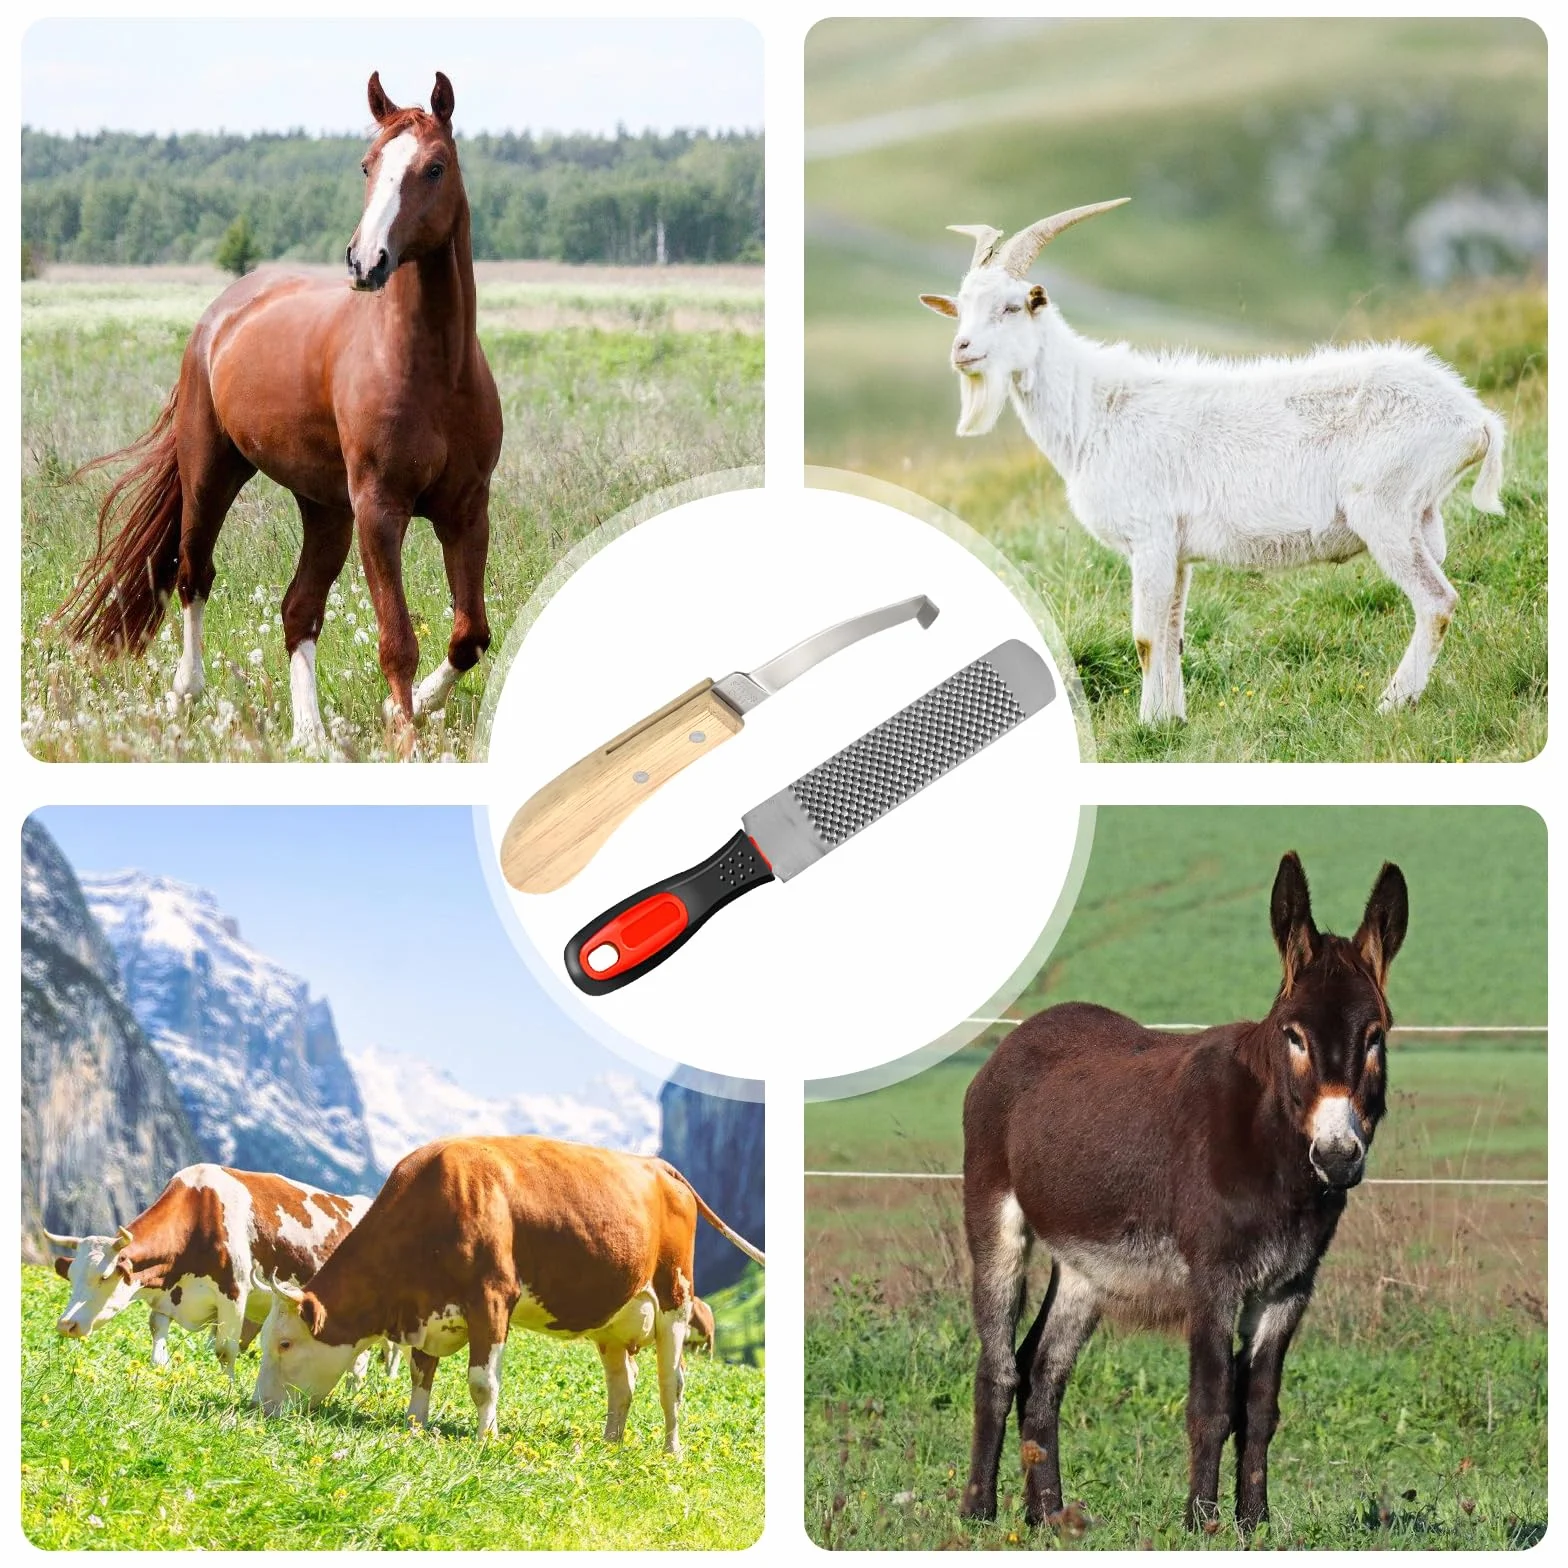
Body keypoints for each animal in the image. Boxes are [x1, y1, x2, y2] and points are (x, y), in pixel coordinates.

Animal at [54, 70, 501, 758]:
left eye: (434, 167)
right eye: (368, 164)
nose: (365, 261)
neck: (436, 372)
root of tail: (223, 312)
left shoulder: (466, 509)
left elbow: (470, 634)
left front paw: (415, 709)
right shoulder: (381, 510)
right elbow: (397, 639)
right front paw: (403, 738)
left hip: (325, 508)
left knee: (299, 609)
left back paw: (310, 737)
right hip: (212, 474)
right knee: (193, 574)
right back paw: (187, 694)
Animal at [959, 851, 1408, 1535]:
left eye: (1376, 1035)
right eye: (1294, 1035)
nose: (1336, 1157)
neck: (1273, 1151)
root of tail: (1022, 1032)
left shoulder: (1289, 1288)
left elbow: (1261, 1411)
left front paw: (1255, 1525)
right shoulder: (1213, 1280)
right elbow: (1212, 1404)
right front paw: (1201, 1523)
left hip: (1087, 1263)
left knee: (1043, 1372)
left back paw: (1048, 1518)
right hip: (995, 1219)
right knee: (999, 1368)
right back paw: (979, 1515)